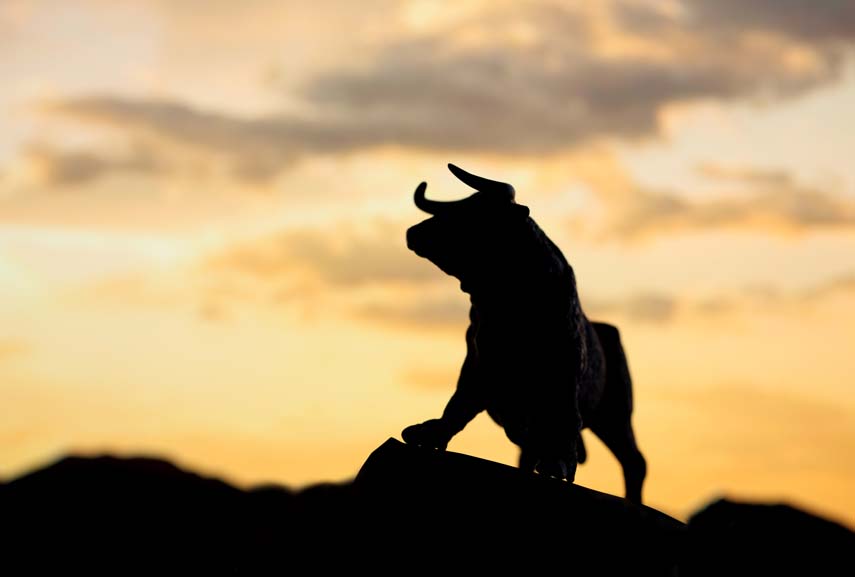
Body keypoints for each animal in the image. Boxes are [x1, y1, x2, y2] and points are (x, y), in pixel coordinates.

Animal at [401, 163, 647, 504]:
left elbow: (562, 424)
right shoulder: (478, 367)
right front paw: (430, 432)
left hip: (616, 413)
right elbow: (458, 406)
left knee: (633, 460)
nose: (413, 232)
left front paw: (558, 464)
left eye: (476, 214)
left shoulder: (562, 376)